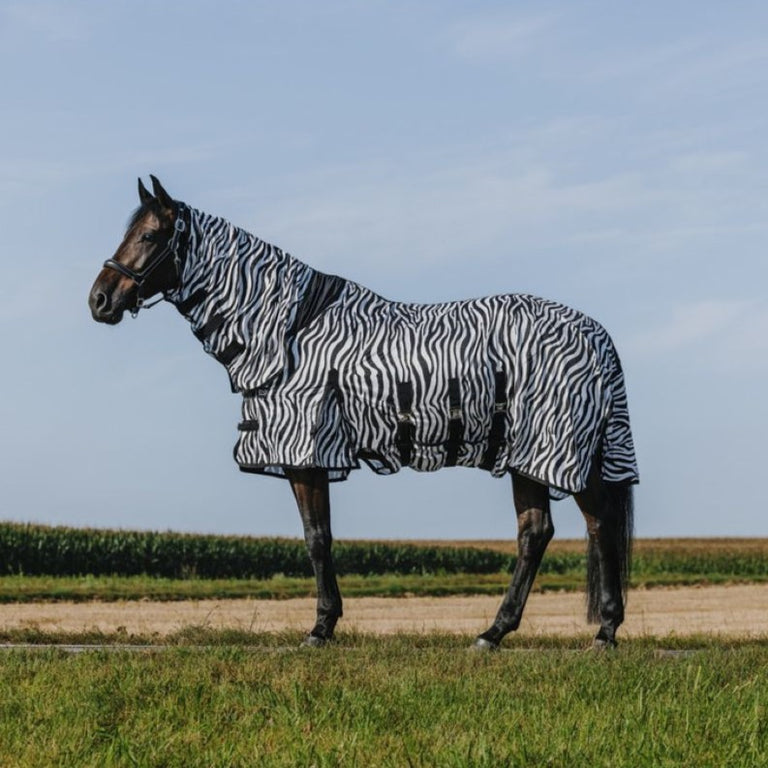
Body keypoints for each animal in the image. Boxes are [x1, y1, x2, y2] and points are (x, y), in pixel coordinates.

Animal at [89, 175, 638, 650]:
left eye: (150, 234)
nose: (99, 300)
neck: (290, 330)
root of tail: (597, 334)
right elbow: (321, 537)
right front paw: (326, 623)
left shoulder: (307, 454)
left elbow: (317, 539)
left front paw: (320, 628)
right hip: (529, 456)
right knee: (539, 532)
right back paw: (499, 632)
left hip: (554, 449)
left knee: (594, 525)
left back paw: (600, 632)